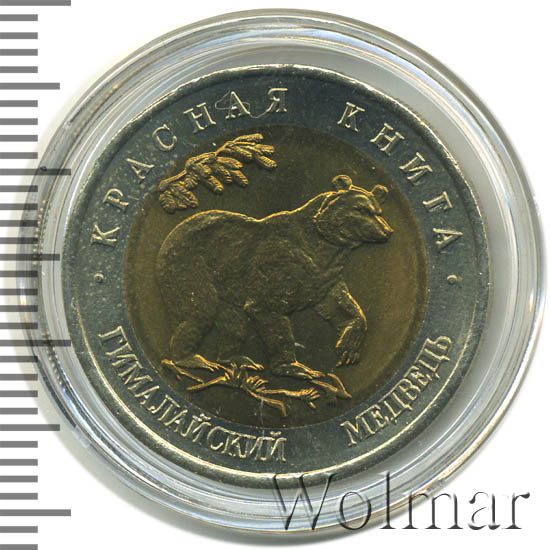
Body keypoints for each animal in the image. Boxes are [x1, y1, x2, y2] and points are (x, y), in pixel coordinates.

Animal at [156, 174, 393, 383]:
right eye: (362, 210)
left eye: (378, 211)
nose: (387, 231)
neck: (326, 245)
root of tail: (169, 237)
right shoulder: (279, 265)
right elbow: (270, 314)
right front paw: (296, 367)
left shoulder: (324, 276)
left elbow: (340, 305)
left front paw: (348, 345)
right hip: (189, 267)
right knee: (199, 311)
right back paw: (191, 359)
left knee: (234, 325)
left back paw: (237, 359)